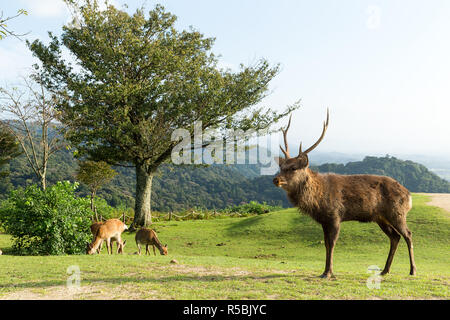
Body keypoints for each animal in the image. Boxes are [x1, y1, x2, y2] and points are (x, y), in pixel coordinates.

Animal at [274, 110, 418, 278]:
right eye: (281, 167)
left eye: (293, 168)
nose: (276, 179)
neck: (318, 200)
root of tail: (409, 195)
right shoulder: (324, 220)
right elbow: (326, 244)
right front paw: (325, 271)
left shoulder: (335, 215)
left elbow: (332, 243)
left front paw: (328, 272)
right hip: (380, 217)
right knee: (395, 237)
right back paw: (384, 270)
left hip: (397, 212)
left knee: (408, 234)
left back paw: (412, 270)